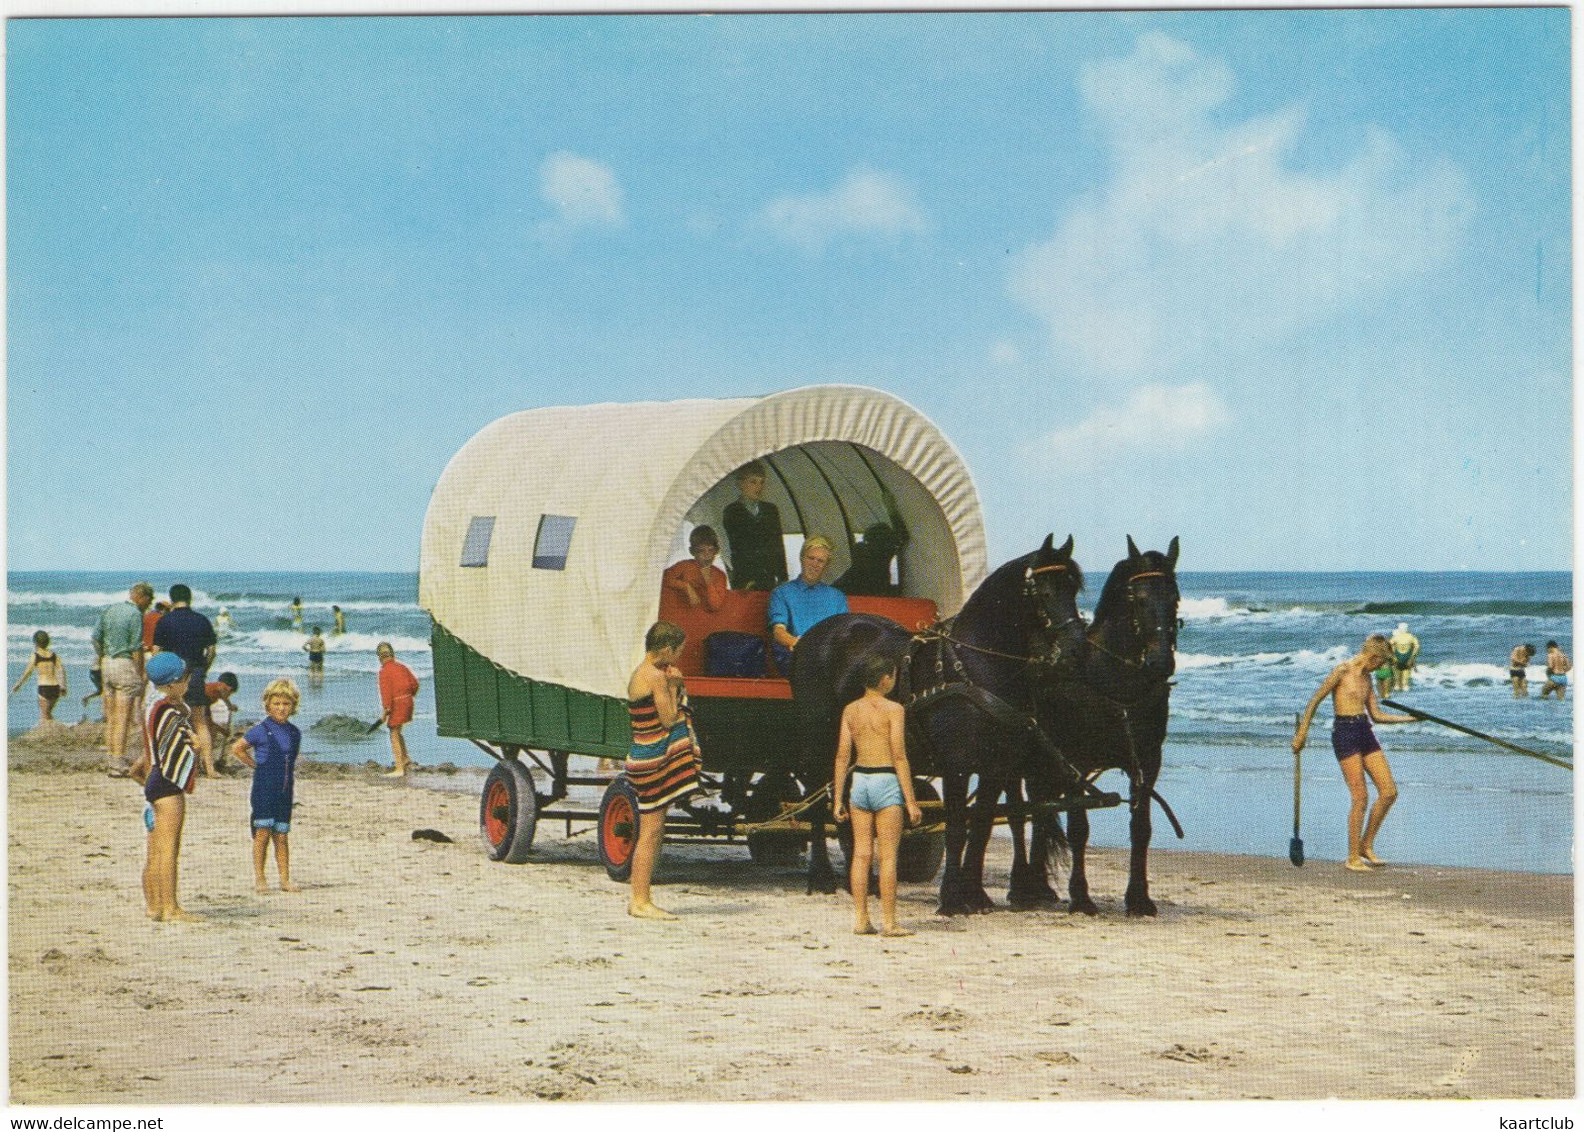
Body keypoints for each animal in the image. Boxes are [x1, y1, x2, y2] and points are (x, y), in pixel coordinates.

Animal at [788, 531, 1089, 911]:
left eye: (1074, 588)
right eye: (1045, 592)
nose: (1077, 650)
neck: (974, 668)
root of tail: (814, 636)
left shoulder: (996, 767)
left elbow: (981, 828)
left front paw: (975, 895)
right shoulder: (957, 766)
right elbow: (957, 827)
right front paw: (951, 899)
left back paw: (864, 880)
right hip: (819, 741)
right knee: (817, 796)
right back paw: (822, 878)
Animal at [1026, 535, 1191, 918]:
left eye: (1174, 598)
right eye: (1138, 599)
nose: (1161, 662)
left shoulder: (1147, 761)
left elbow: (1141, 828)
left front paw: (1139, 898)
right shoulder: (1077, 762)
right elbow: (1078, 828)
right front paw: (1081, 897)